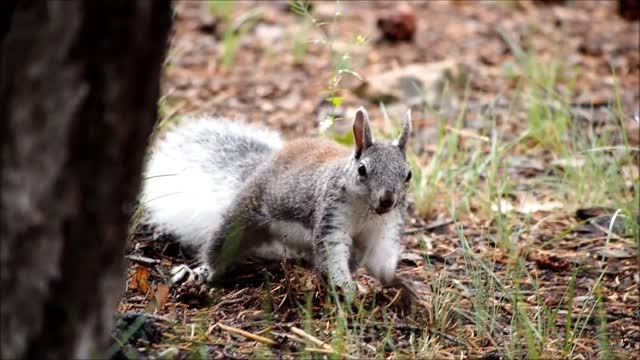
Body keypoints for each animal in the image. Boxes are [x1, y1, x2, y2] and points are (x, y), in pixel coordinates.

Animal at [140, 107, 412, 292]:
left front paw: (397, 283)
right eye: (362, 170)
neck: (366, 212)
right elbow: (332, 252)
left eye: (408, 174)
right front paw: (346, 287)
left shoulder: (382, 230)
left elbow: (381, 257)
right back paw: (200, 272)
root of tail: (261, 165)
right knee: (219, 246)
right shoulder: (331, 215)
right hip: (242, 216)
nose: (387, 200)